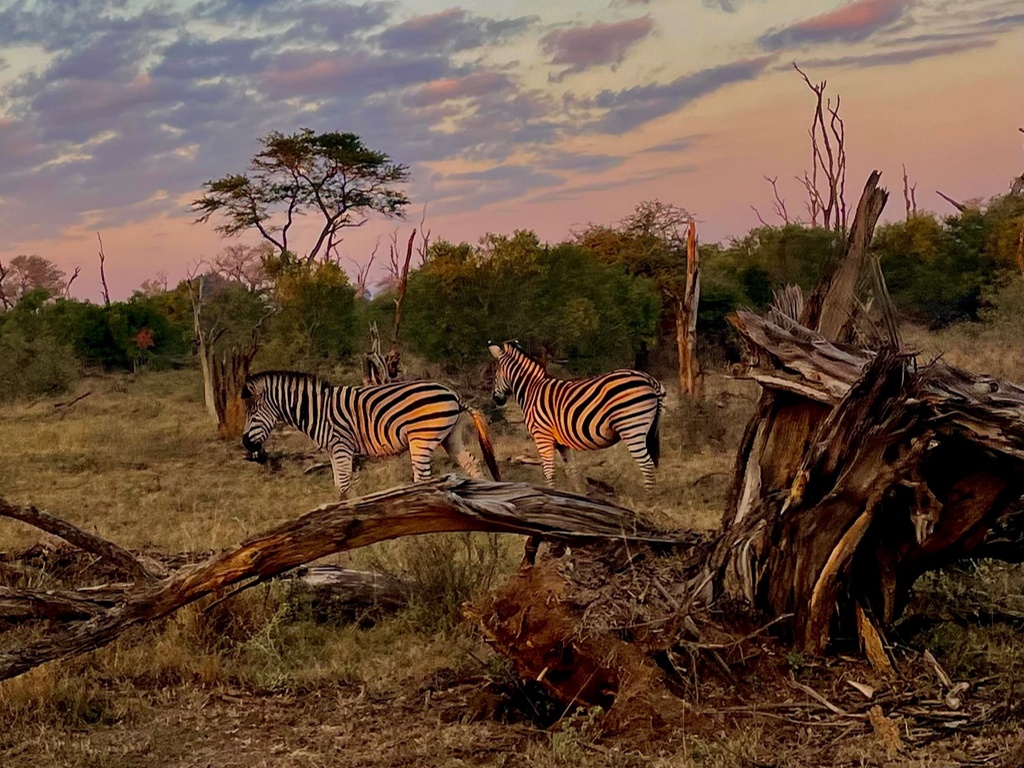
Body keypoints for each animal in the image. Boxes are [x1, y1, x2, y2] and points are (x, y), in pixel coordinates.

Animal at [240, 370, 500, 494]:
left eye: (252, 413)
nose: (246, 444)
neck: (317, 410)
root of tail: (453, 393)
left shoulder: (342, 447)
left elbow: (345, 486)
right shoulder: (333, 452)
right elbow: (339, 486)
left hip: (422, 439)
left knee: (423, 478)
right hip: (450, 437)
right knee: (472, 464)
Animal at [487, 340, 666, 490]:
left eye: (496, 373)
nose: (496, 399)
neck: (531, 389)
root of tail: (650, 380)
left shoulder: (542, 436)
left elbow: (549, 471)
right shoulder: (561, 442)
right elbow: (571, 470)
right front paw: (579, 496)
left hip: (632, 427)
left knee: (646, 465)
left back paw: (648, 501)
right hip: (648, 429)